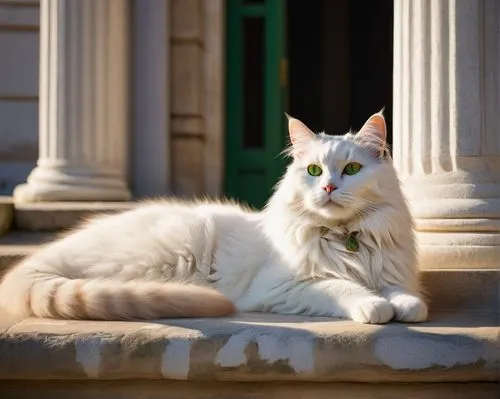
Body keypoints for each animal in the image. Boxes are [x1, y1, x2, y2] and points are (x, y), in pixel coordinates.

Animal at [0, 111, 428, 324]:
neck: (345, 239)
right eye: (314, 171)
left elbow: (407, 298)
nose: (327, 188)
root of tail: (41, 257)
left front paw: (404, 307)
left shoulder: (391, 274)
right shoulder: (285, 288)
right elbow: (347, 289)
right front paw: (375, 308)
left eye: (352, 170)